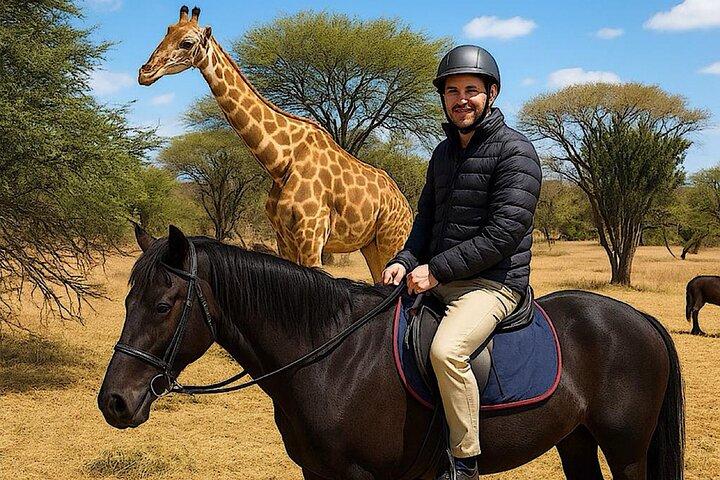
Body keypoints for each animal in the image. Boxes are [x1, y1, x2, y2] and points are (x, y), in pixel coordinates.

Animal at [98, 226, 684, 480]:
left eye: (164, 305)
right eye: (127, 300)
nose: (114, 402)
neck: (331, 360)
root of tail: (643, 321)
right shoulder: (320, 475)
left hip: (626, 450)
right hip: (576, 441)